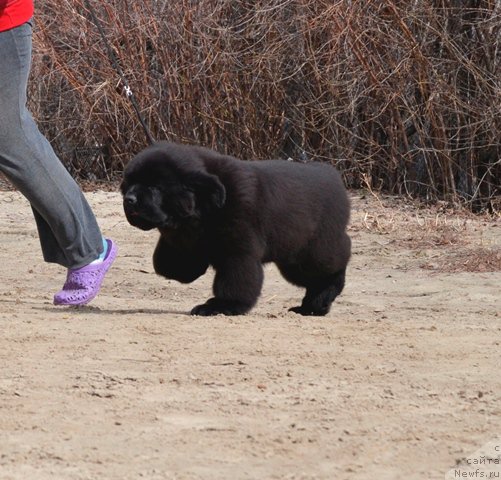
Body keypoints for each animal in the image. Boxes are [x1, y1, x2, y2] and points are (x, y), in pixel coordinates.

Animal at [119, 141, 350, 316]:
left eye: (154, 187)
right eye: (129, 184)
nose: (129, 199)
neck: (203, 207)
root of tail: (333, 175)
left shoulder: (237, 250)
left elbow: (234, 282)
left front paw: (221, 307)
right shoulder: (182, 242)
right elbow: (167, 265)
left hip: (312, 251)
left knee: (335, 263)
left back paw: (319, 301)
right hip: (292, 257)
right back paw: (311, 307)